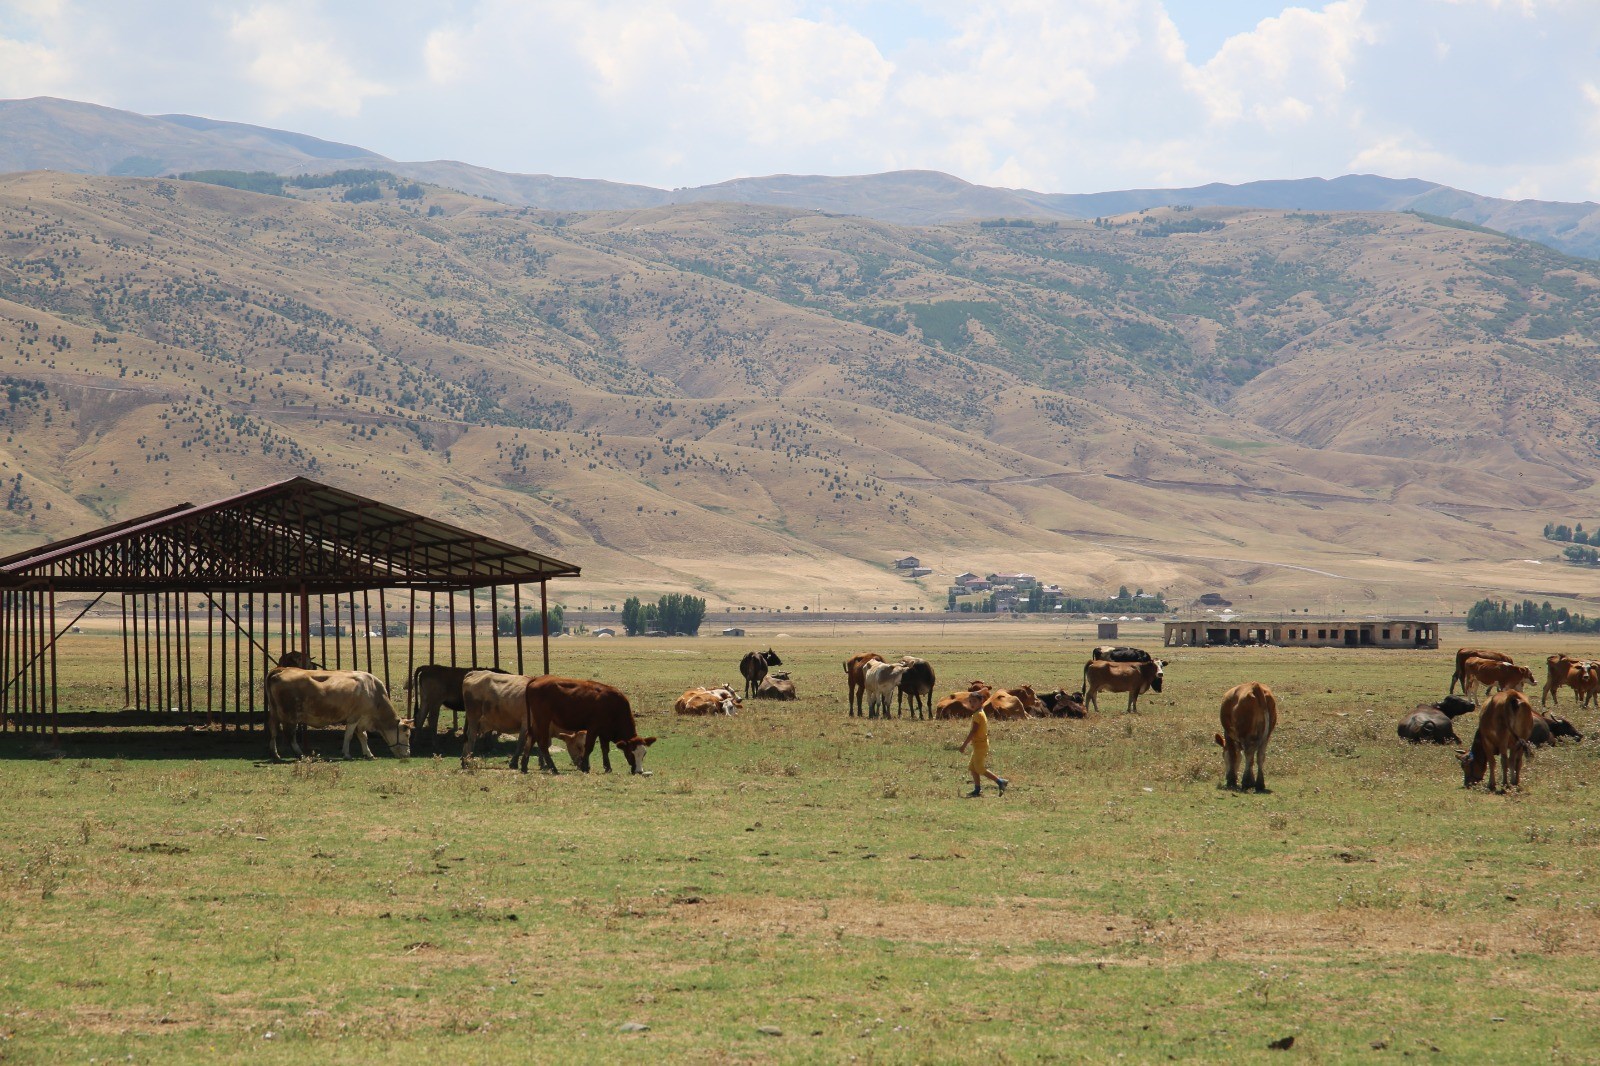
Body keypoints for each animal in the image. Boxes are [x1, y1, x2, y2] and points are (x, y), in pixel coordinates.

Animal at [521, 672, 652, 771]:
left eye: (644, 754)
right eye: (631, 753)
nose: (639, 771)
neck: (614, 706)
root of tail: (538, 679)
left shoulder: (604, 732)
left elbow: (605, 749)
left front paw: (607, 767)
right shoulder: (593, 728)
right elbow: (589, 747)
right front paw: (585, 767)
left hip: (537, 721)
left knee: (532, 738)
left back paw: (524, 766)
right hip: (543, 720)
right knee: (542, 742)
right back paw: (553, 768)